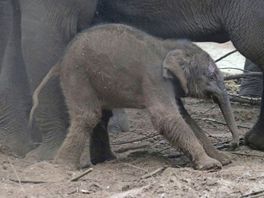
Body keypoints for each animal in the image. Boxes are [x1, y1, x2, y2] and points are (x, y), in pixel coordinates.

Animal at [30, 24, 239, 170]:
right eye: (211, 76)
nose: (235, 144)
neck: (167, 46)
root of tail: (60, 61)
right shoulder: (154, 79)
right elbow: (167, 117)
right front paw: (211, 166)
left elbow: (185, 118)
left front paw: (223, 160)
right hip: (77, 75)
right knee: (88, 116)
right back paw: (62, 166)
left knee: (101, 116)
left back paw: (106, 160)